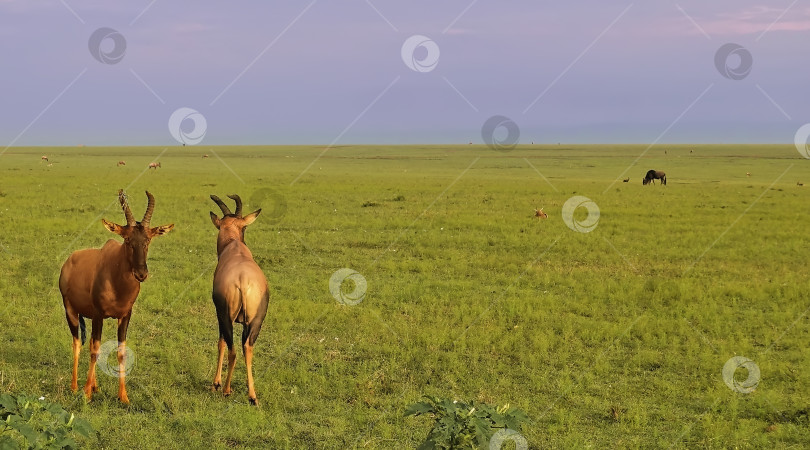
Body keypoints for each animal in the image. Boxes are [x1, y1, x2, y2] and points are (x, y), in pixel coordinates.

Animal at [58, 190, 175, 404]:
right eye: (127, 239)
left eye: (148, 239)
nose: (141, 274)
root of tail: (69, 261)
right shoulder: (98, 314)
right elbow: (95, 349)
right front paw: (86, 394)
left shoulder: (125, 315)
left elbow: (121, 352)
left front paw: (123, 396)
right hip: (70, 311)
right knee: (77, 343)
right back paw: (75, 387)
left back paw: (95, 386)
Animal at [208, 193, 268, 404]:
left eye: (244, 227)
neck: (234, 246)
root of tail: (242, 280)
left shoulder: (219, 314)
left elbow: (220, 343)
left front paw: (216, 383)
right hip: (256, 321)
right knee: (247, 348)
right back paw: (252, 396)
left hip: (227, 317)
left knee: (232, 349)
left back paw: (226, 389)